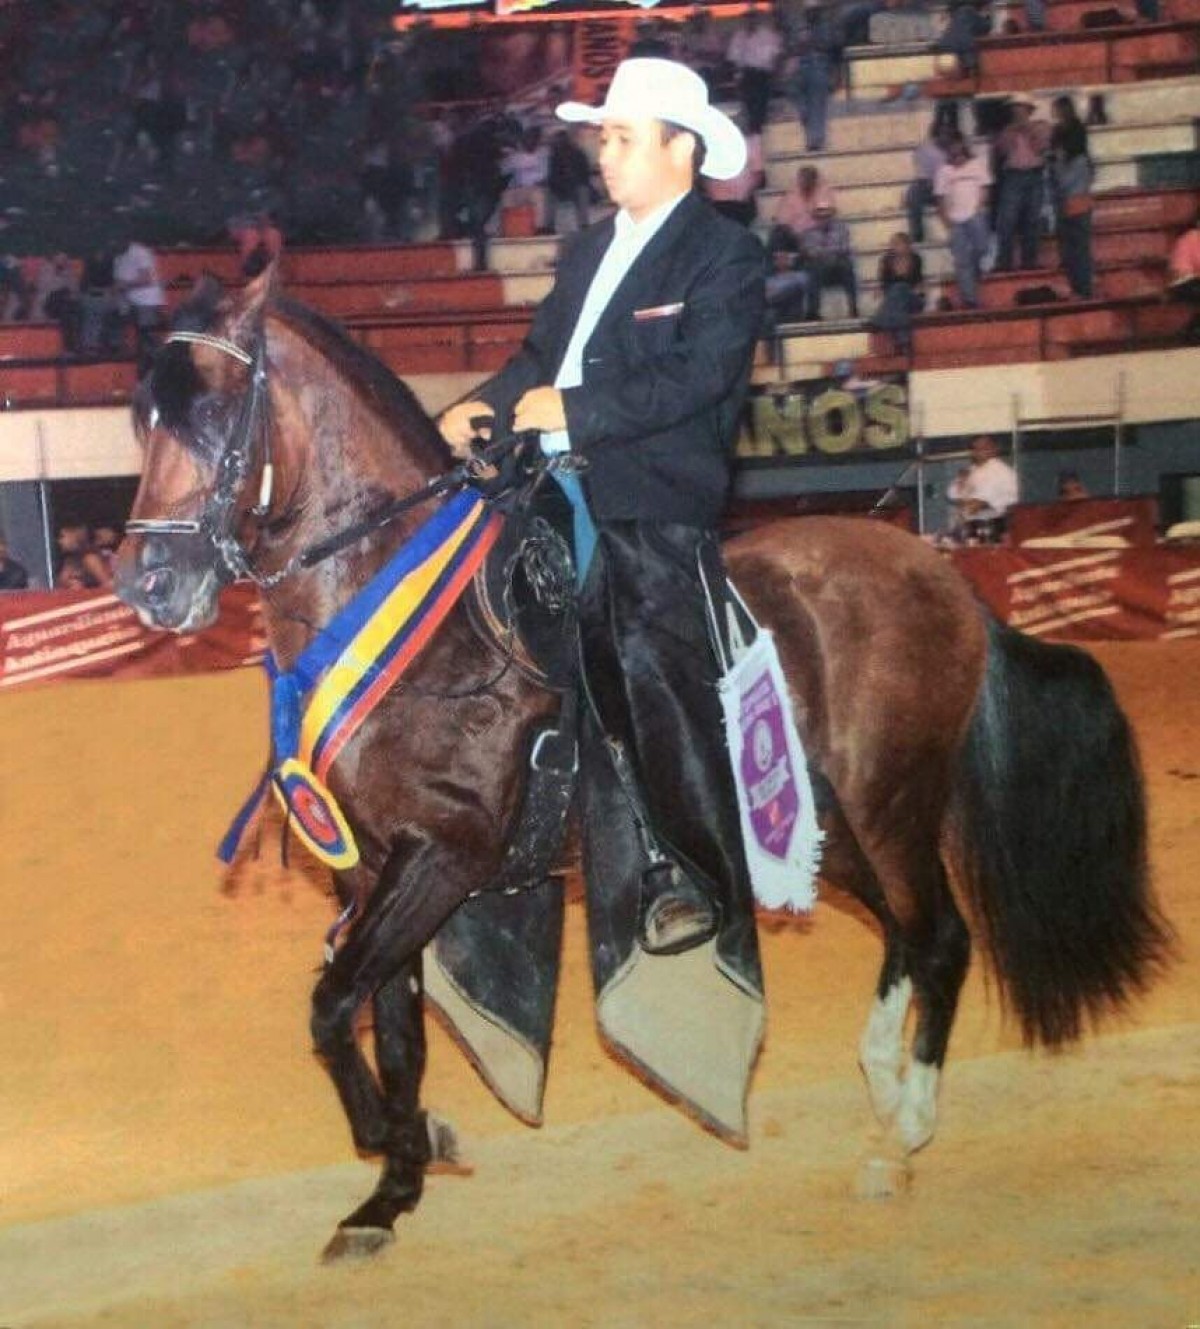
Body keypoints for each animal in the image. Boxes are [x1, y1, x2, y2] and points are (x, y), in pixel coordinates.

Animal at [114, 268, 1170, 1261]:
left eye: (215, 408)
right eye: (142, 416)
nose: (148, 586)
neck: (418, 625)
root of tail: (942, 574)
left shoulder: (444, 854)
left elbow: (334, 1006)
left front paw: (403, 1144)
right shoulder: (368, 869)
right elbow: (393, 1027)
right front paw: (393, 1189)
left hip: (892, 802)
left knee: (943, 935)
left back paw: (902, 1130)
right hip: (826, 823)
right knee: (906, 933)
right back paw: (879, 1080)